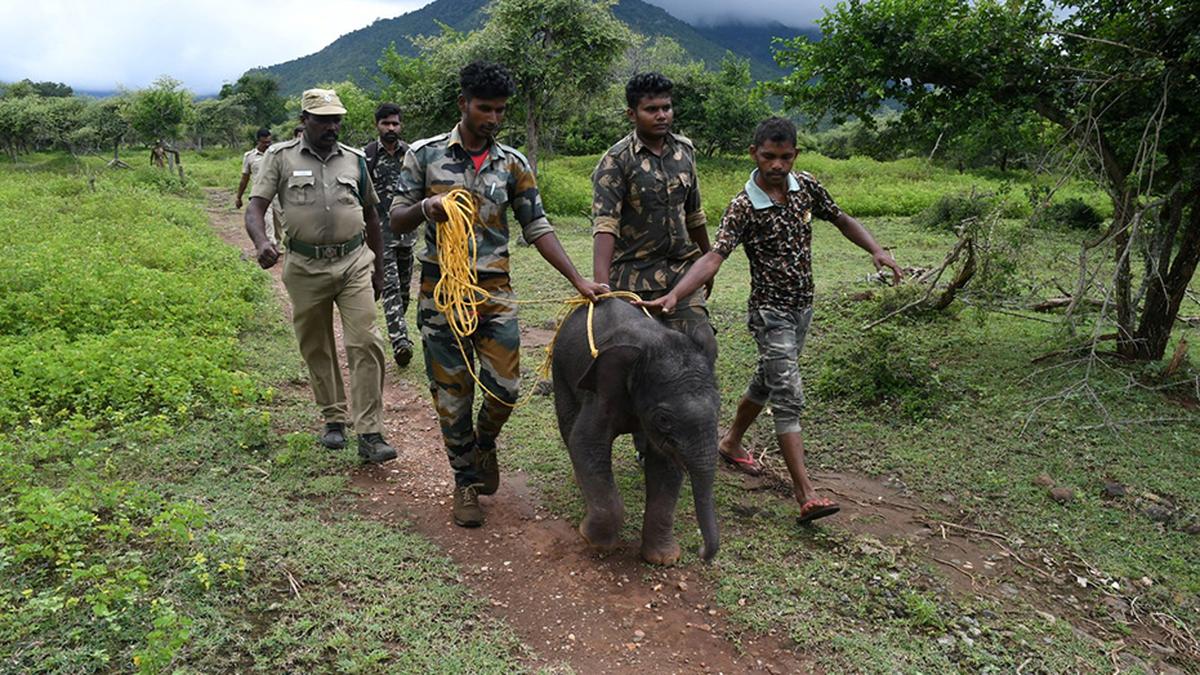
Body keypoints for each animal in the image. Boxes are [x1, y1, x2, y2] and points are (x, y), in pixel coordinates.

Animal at [551, 298, 720, 565]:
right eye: (663, 419)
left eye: (719, 406)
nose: (701, 551)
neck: (653, 345)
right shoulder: (603, 390)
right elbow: (586, 443)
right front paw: (593, 540)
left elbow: (666, 464)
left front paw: (664, 559)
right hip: (561, 370)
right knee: (568, 424)